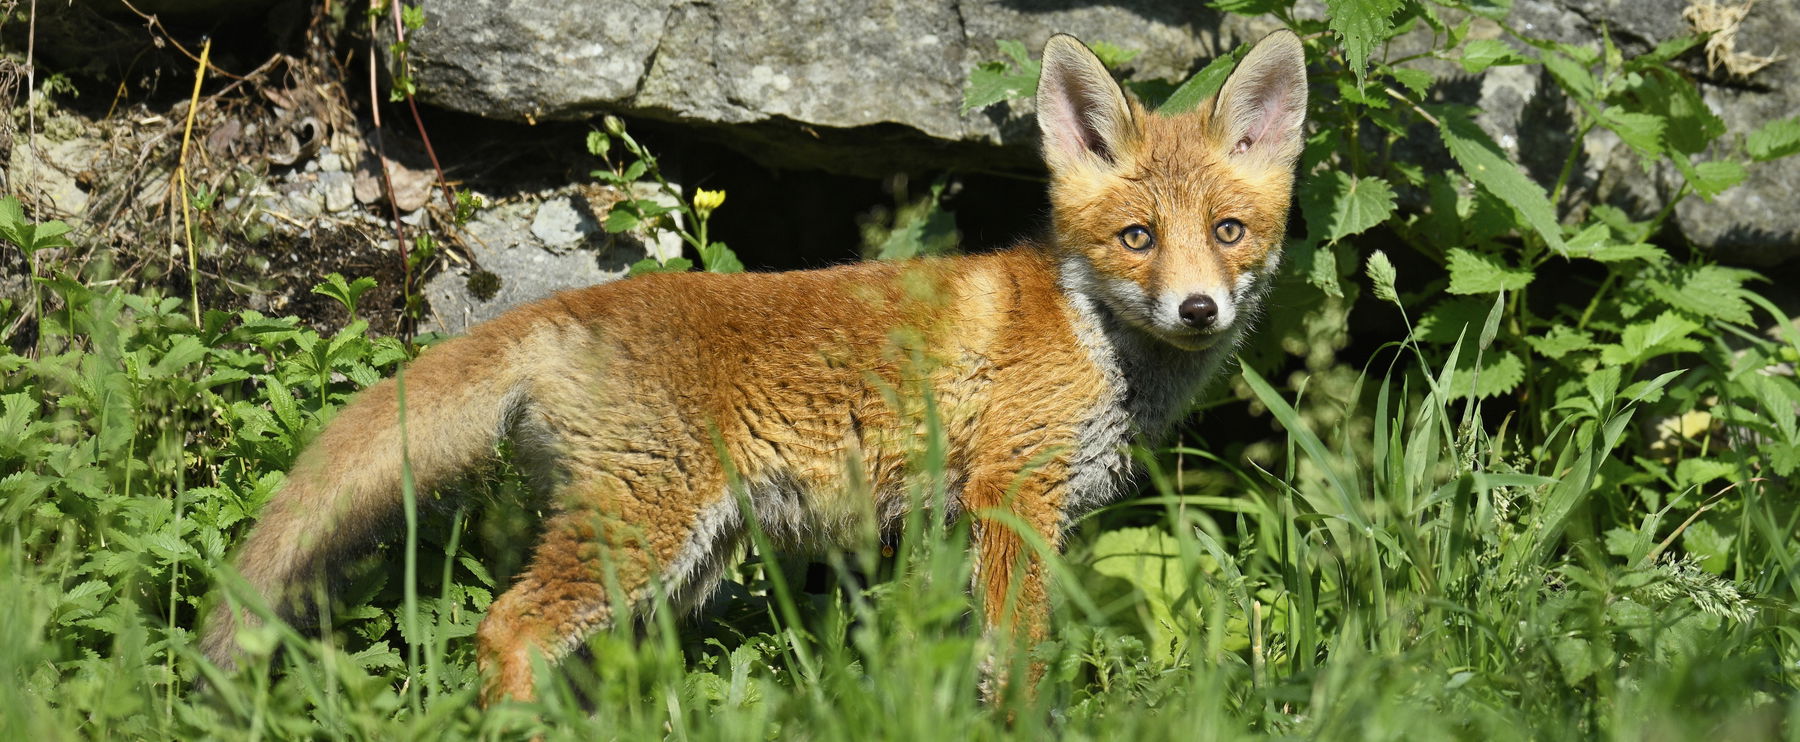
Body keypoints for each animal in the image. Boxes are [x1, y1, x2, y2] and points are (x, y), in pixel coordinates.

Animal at [204, 31, 1310, 705]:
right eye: (1136, 238)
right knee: (504, 630)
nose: (1200, 308)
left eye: (1228, 232)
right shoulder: (1012, 495)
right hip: (640, 538)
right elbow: (1018, 653)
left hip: (682, 561)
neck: (1090, 337)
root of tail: (566, 306)